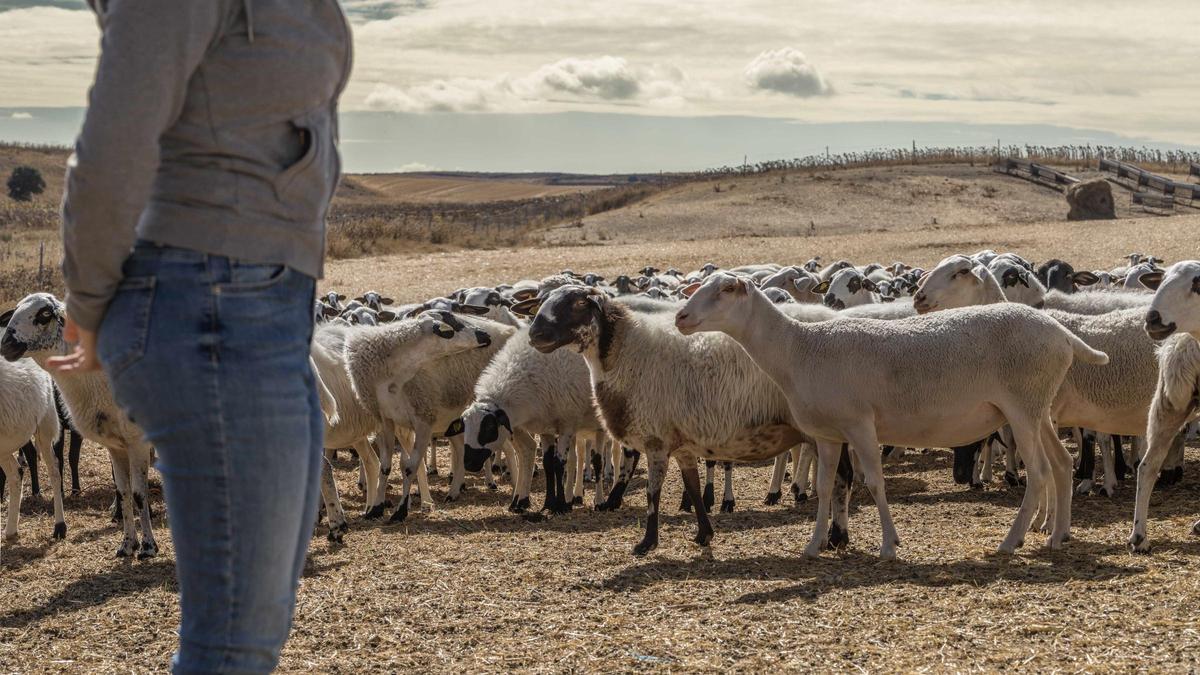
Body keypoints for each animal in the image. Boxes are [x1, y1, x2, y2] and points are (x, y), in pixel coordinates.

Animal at [519, 286, 833, 556]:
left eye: (578, 303)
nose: (535, 334)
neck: (627, 354)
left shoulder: (656, 440)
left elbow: (652, 492)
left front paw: (647, 543)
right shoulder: (682, 444)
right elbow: (693, 488)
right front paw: (704, 534)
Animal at [675, 273, 1109, 558]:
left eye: (727, 290)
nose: (680, 318)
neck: (801, 348)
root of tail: (1062, 333)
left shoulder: (860, 424)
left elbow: (874, 483)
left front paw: (888, 545)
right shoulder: (828, 434)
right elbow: (825, 487)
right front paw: (814, 545)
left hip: (1022, 407)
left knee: (1039, 473)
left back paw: (1011, 541)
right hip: (1038, 408)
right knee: (1061, 463)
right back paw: (1057, 535)